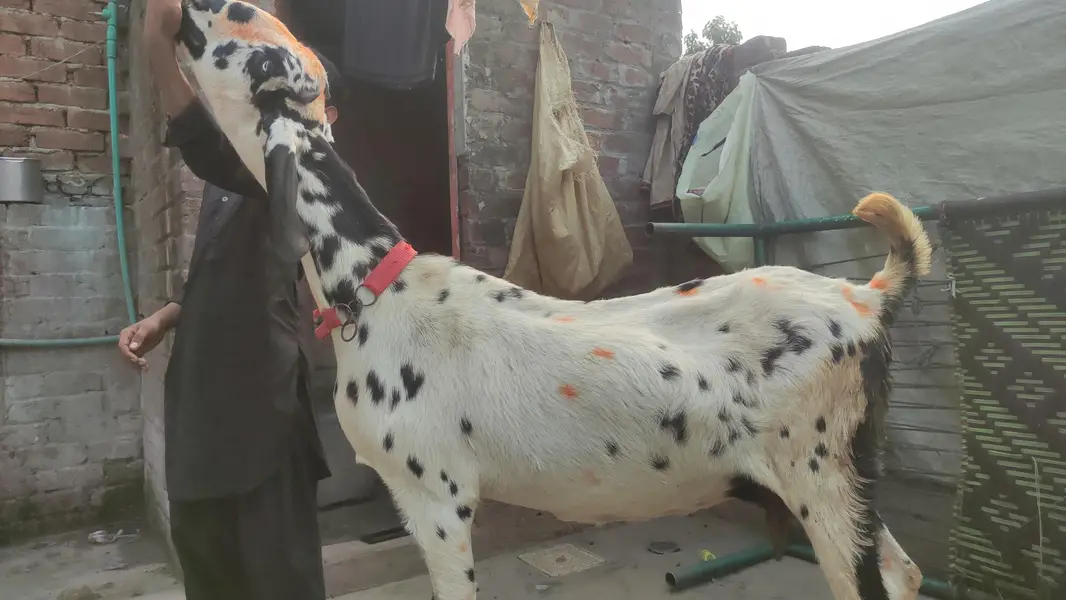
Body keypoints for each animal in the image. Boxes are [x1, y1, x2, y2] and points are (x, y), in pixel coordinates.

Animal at [175, 3, 929, 600]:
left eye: (238, 18)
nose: (188, 8)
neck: (376, 284)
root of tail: (867, 297)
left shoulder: (436, 495)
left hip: (819, 474)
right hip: (847, 479)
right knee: (906, 572)